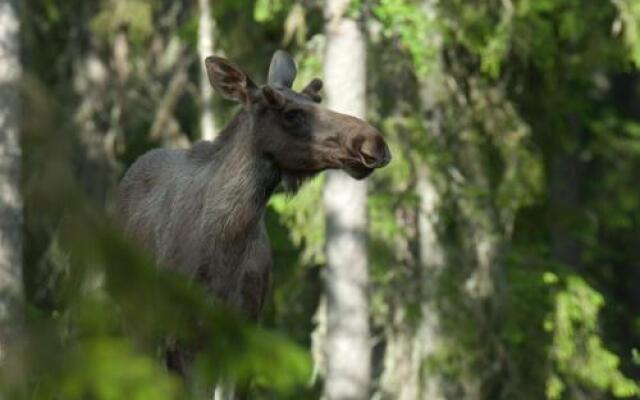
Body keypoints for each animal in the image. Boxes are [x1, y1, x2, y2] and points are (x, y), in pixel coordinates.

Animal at [117, 50, 392, 396]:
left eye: (315, 96)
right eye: (290, 113)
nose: (374, 142)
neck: (227, 245)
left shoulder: (246, 329)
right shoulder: (185, 334)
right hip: (136, 315)